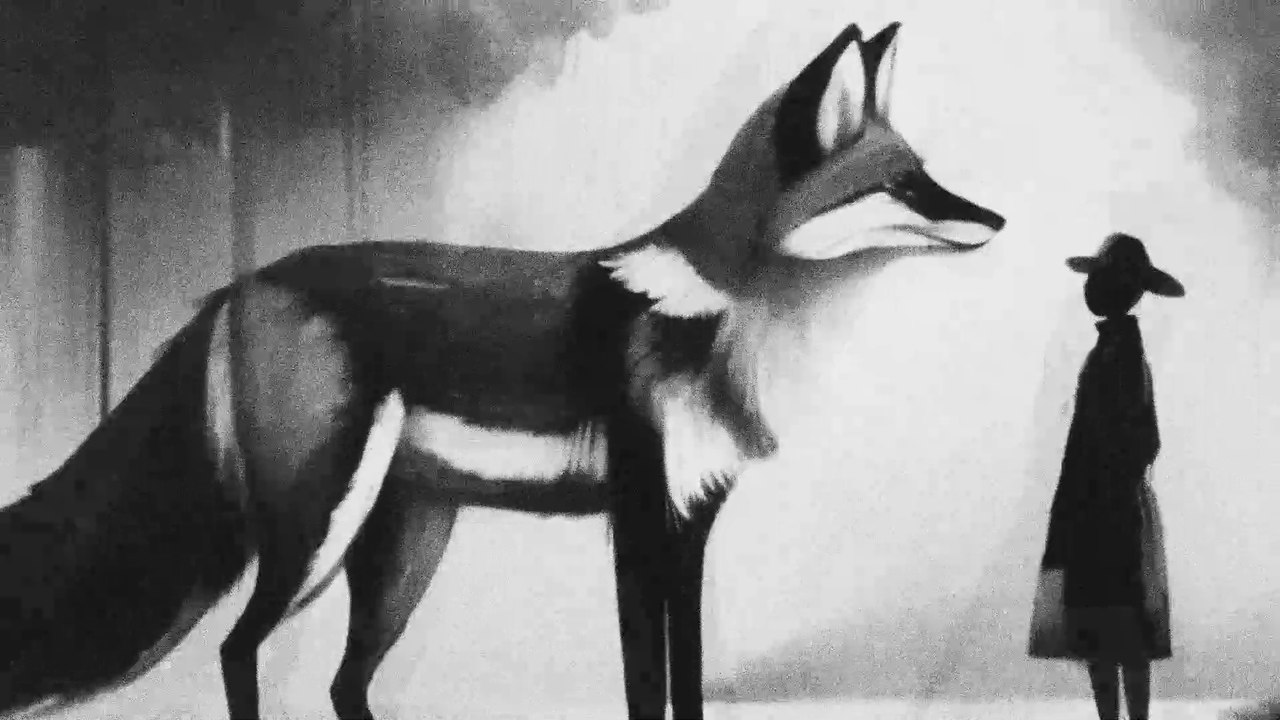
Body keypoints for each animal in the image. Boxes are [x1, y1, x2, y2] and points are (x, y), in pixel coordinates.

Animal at [0, 20, 1006, 720]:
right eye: (907, 185)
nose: (997, 218)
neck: (724, 319)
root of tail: (240, 285)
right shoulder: (638, 522)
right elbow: (645, 685)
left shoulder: (691, 529)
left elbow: (687, 684)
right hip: (320, 529)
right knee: (239, 650)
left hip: (406, 549)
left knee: (341, 683)